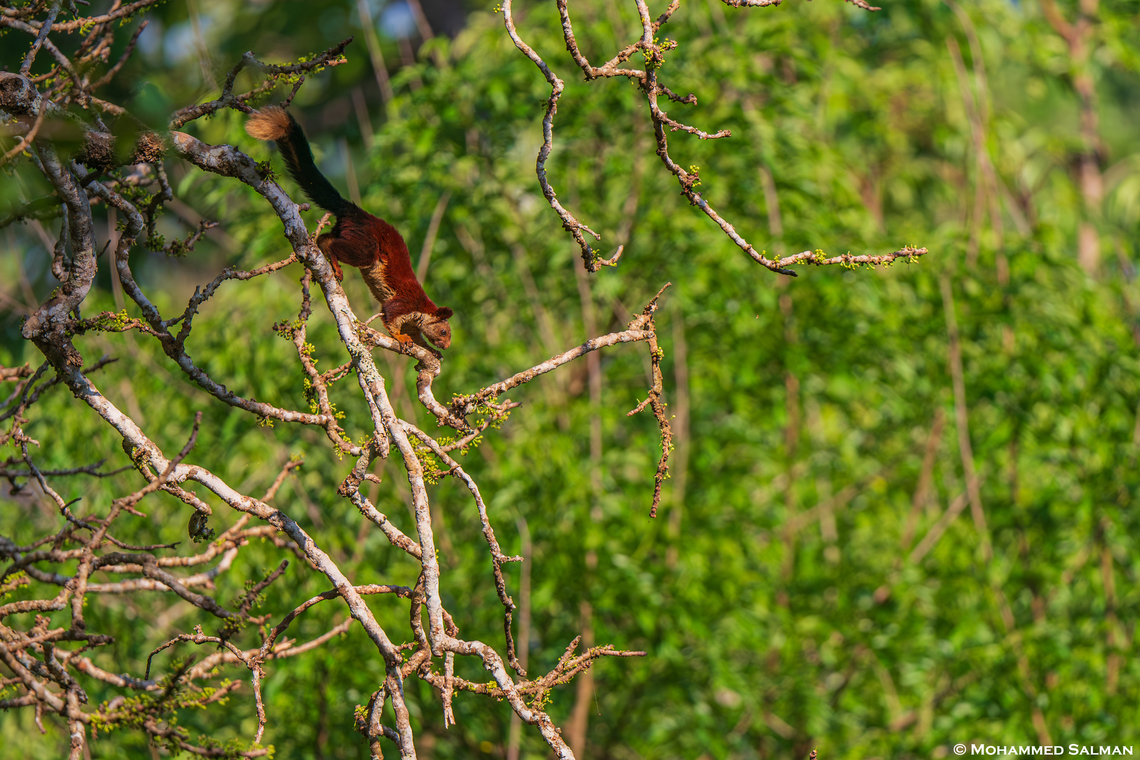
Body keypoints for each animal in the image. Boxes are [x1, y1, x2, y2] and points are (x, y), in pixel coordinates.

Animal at [246, 106, 453, 352]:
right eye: (444, 331)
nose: (447, 346)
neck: (422, 310)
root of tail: (355, 211)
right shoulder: (405, 304)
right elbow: (390, 317)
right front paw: (402, 339)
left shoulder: (413, 322)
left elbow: (419, 339)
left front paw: (433, 352)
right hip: (366, 245)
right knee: (338, 246)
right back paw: (336, 267)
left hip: (347, 231)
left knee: (326, 238)